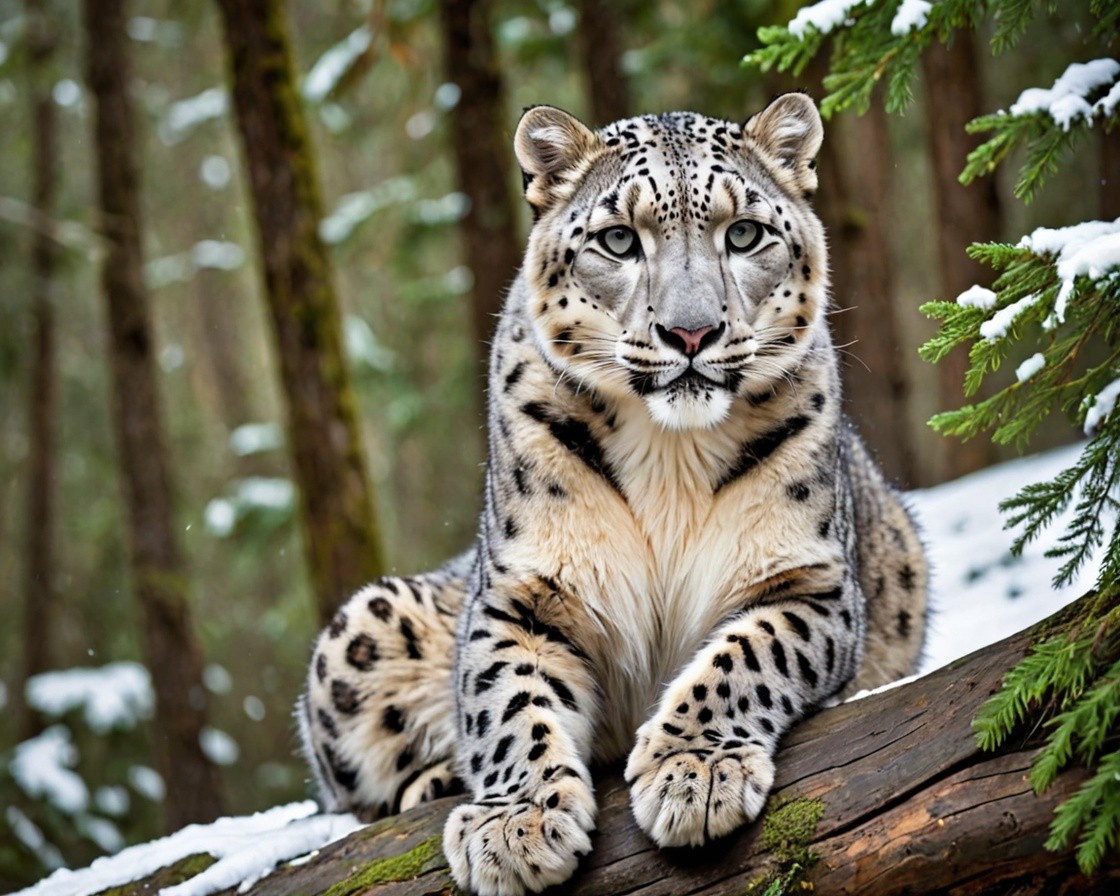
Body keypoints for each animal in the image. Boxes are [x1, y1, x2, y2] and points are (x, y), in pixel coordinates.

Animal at [298, 92, 928, 896]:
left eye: (745, 233)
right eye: (619, 239)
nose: (690, 332)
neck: (671, 456)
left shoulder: (807, 581)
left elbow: (746, 658)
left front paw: (693, 770)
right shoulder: (523, 594)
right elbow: (505, 701)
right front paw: (516, 825)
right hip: (363, 628)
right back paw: (439, 781)